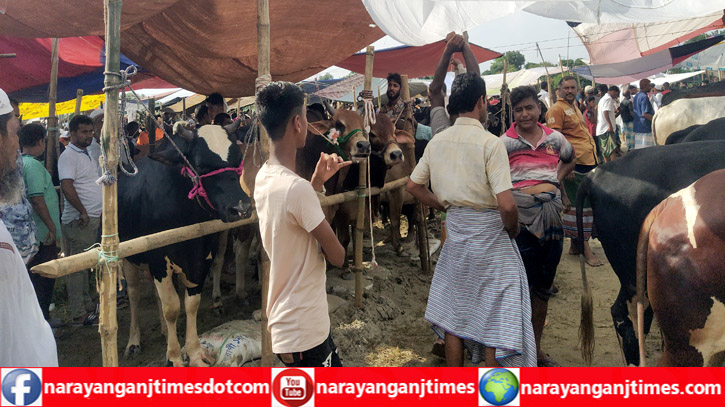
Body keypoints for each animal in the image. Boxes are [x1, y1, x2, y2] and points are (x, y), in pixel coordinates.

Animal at [120, 121, 253, 366]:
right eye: (199, 164)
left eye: (238, 160)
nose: (241, 208)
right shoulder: (158, 259)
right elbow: (172, 307)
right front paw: (174, 357)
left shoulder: (201, 257)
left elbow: (191, 303)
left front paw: (194, 353)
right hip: (128, 258)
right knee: (134, 293)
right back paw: (134, 341)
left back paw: (164, 331)